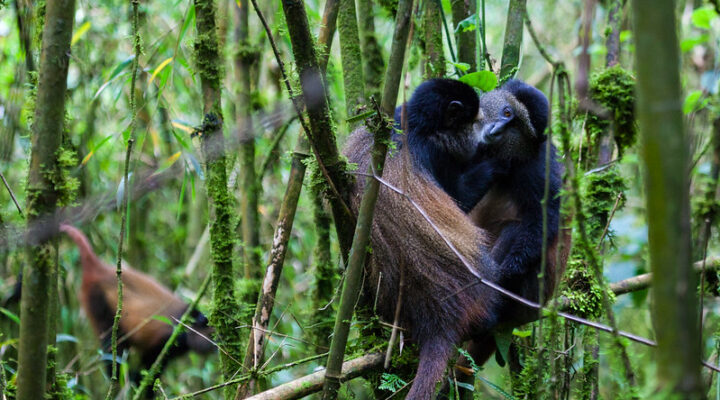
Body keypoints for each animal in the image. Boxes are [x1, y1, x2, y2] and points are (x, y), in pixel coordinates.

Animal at [59, 224, 214, 383]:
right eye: (212, 335)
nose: (217, 344)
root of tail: (99, 270)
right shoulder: (172, 337)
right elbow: (151, 363)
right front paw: (136, 378)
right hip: (97, 301)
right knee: (111, 341)